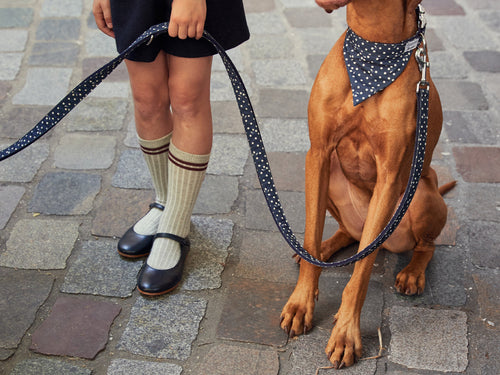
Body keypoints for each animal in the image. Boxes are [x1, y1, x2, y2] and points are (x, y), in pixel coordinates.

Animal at [280, 0, 456, 370]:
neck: (373, 48)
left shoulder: (389, 177)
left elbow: (361, 272)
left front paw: (346, 334)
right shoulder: (318, 154)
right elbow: (311, 232)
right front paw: (302, 303)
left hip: (421, 194)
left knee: (423, 246)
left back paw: (412, 273)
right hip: (332, 174)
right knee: (348, 233)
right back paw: (324, 250)